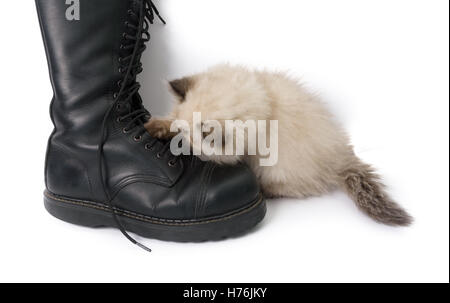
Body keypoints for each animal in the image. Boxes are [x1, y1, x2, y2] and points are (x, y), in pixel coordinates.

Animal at [146, 63, 414, 226]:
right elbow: (169, 121)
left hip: (278, 171)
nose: (181, 148)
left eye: (193, 148)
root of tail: (341, 158)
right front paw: (156, 127)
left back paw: (263, 190)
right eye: (182, 137)